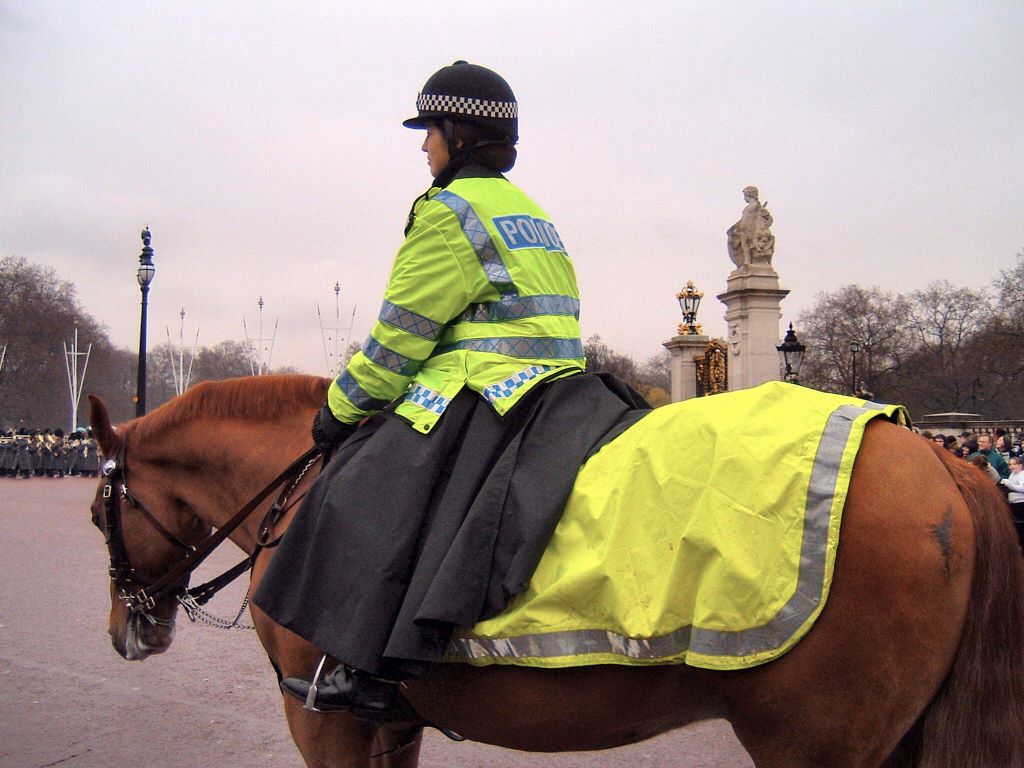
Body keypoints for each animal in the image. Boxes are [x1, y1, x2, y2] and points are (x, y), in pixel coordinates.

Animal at [86, 374, 1024, 768]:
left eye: (99, 514)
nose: (126, 630)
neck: (310, 485)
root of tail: (945, 461)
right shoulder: (390, 723)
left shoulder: (322, 720)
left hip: (817, 742)